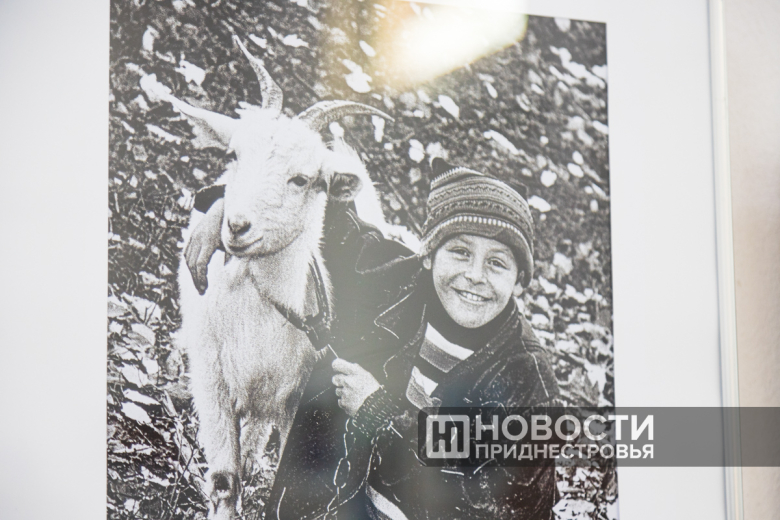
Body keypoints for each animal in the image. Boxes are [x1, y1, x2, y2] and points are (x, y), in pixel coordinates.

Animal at [144, 37, 392, 519]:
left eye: (302, 179)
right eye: (234, 155)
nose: (236, 226)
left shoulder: (298, 394)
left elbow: (283, 479)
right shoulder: (214, 378)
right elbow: (226, 478)